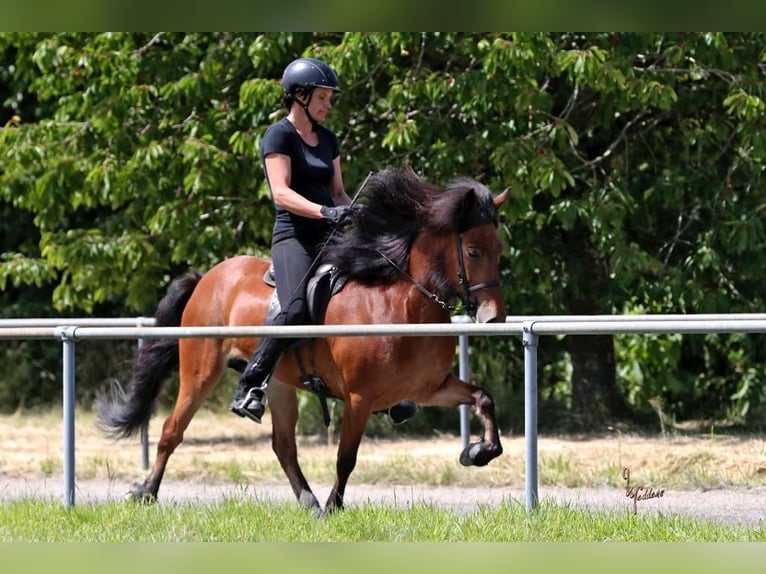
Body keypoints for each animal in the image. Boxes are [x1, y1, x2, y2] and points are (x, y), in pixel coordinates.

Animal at [97, 166, 510, 512]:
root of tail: (208, 277)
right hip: (200, 372)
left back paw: (308, 501)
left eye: (499, 251)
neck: (402, 304)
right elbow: (346, 457)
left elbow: (484, 398)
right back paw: (146, 492)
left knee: (283, 446)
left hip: (279, 384)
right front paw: (334, 507)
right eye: (473, 251)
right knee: (172, 431)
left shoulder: (429, 388)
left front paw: (478, 452)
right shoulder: (359, 398)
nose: (495, 317)